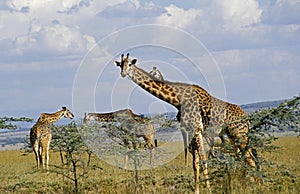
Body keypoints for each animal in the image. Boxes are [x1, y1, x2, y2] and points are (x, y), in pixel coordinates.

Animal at [113, 52, 258, 192]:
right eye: (120, 65)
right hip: (233, 136)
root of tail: (247, 119)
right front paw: (197, 189)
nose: (123, 74)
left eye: (130, 64)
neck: (178, 100)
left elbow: (203, 160)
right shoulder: (190, 130)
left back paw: (255, 185)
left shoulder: (197, 130)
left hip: (239, 134)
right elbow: (195, 163)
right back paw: (247, 182)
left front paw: (208, 188)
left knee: (250, 158)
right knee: (245, 157)